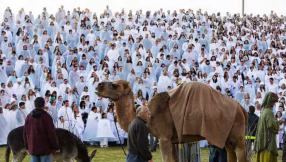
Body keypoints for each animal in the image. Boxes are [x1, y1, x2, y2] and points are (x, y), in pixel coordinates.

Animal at [96, 80, 248, 161]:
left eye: (115, 85)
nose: (98, 85)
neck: (150, 115)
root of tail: (241, 108)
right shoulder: (173, 140)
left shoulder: (164, 138)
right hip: (227, 137)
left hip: (238, 136)